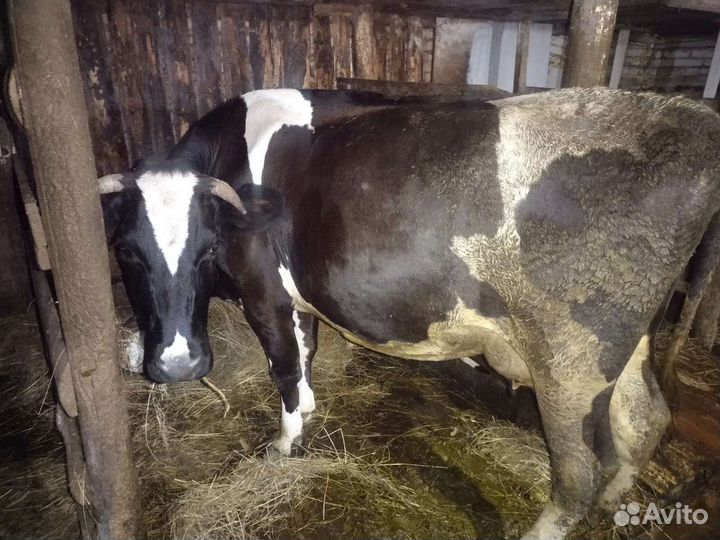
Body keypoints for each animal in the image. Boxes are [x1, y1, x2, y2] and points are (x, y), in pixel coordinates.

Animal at [99, 87, 720, 539]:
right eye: (126, 251)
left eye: (208, 250)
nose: (177, 365)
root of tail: (692, 118)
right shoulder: (298, 296)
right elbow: (306, 352)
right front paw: (309, 412)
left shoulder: (263, 292)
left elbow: (284, 366)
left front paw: (284, 445)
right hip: (629, 343)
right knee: (646, 417)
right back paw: (621, 503)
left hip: (570, 359)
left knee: (578, 474)